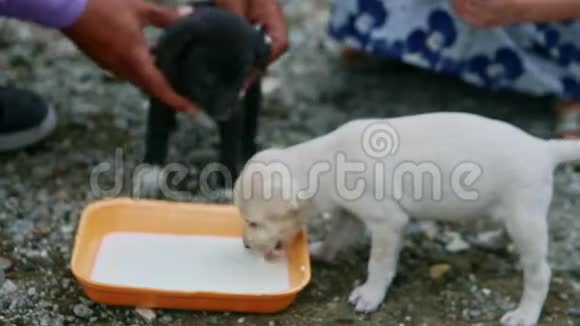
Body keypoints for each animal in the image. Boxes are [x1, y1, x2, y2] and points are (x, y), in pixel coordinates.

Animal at [139, 2, 270, 196]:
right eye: (209, 78)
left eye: (242, 78)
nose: (224, 114)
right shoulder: (161, 89)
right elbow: (156, 130)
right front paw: (151, 172)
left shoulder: (238, 105)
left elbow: (230, 144)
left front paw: (226, 183)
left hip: (254, 91)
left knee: (251, 118)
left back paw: (249, 149)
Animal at [232, 111, 580, 324]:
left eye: (253, 222)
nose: (246, 246)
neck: (326, 160)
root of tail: (543, 148)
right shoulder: (350, 213)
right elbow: (337, 235)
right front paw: (321, 251)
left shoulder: (388, 221)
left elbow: (379, 264)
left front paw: (370, 295)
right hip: (514, 214)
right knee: (506, 233)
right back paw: (492, 239)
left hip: (526, 220)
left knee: (540, 272)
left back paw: (525, 313)